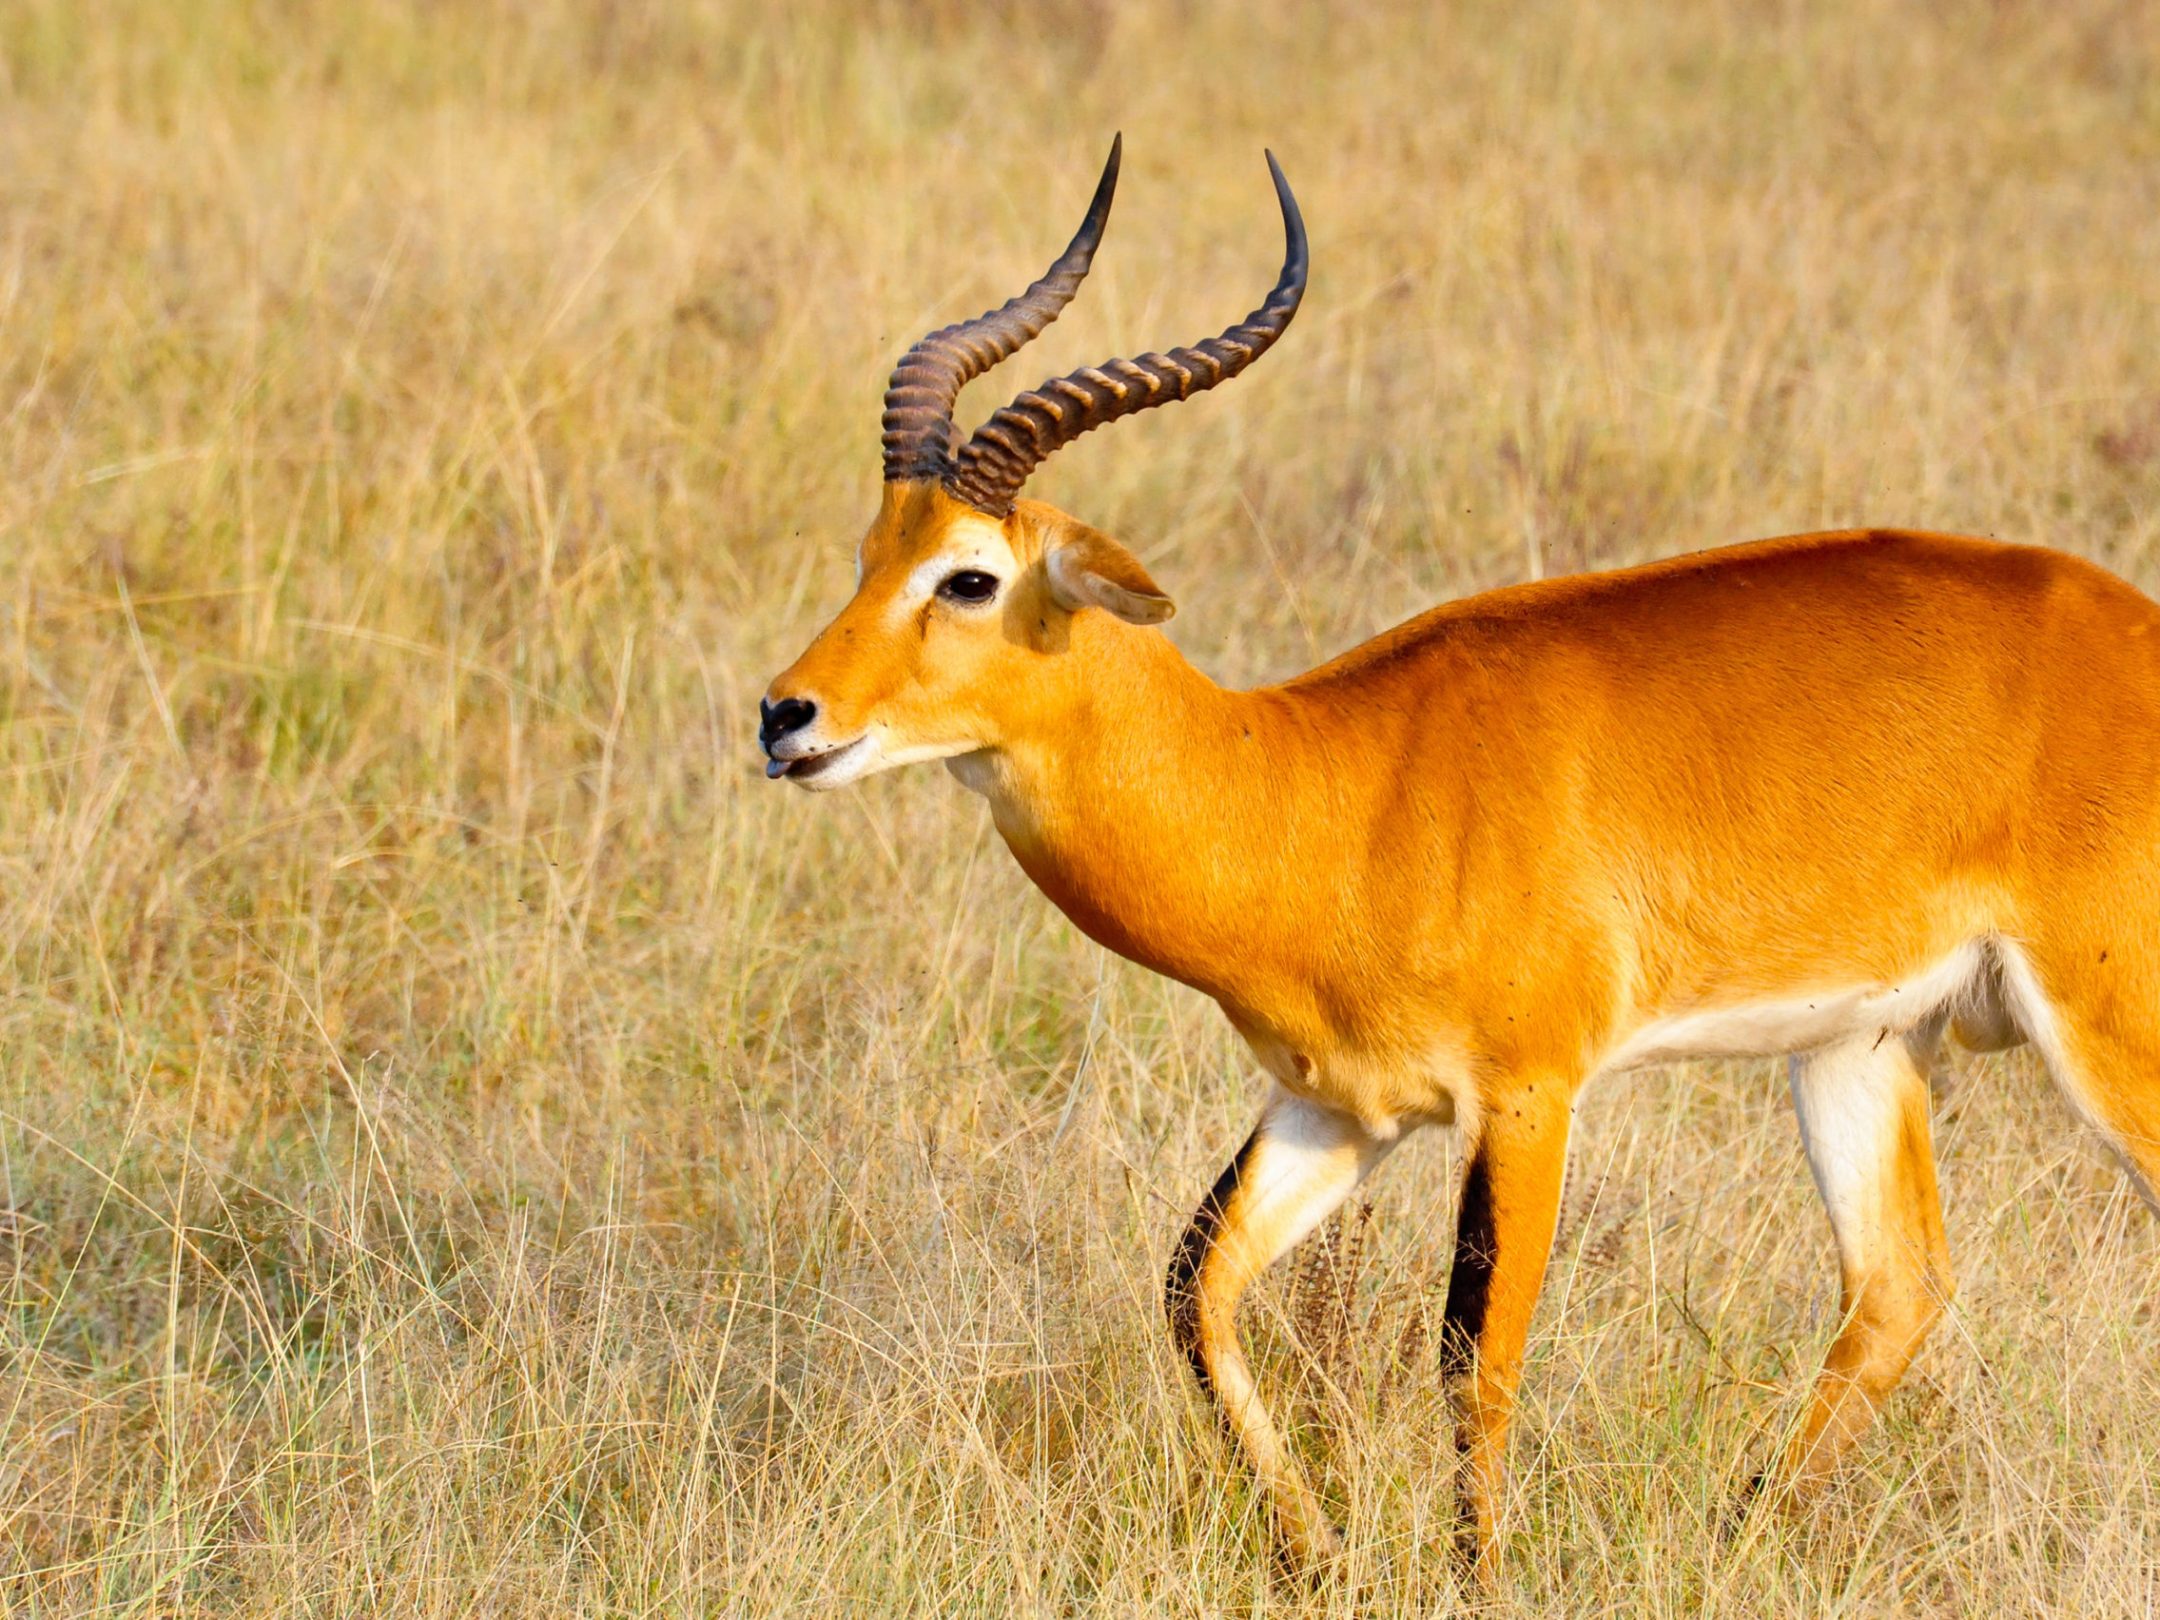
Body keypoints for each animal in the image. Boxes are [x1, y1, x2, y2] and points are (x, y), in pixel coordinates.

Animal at [758, 136, 2160, 1581]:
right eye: (871, 555)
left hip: (2105, 1030)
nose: (785, 717)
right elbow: (1195, 1286)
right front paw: (1315, 1557)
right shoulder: (1336, 1107)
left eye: (970, 578)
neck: (1322, 786)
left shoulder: (1529, 1096)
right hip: (1859, 1045)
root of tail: (2133, 626)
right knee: (1899, 1289)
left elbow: (1470, 1358)